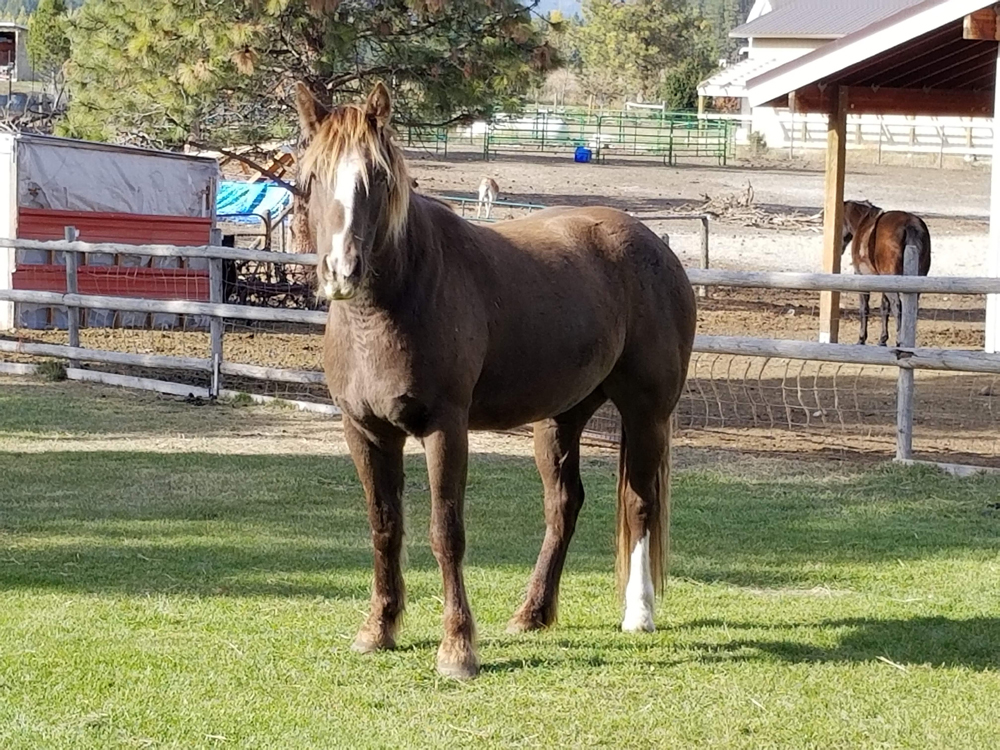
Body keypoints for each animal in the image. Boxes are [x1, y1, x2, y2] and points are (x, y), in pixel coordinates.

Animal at [292, 82, 692, 680]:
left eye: (377, 177)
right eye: (312, 177)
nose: (343, 270)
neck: (392, 305)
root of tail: (657, 247)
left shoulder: (445, 428)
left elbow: (446, 533)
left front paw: (457, 649)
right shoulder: (364, 430)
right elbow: (384, 526)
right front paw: (378, 630)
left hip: (647, 414)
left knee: (641, 505)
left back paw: (638, 614)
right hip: (560, 418)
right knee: (564, 505)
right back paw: (532, 613)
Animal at [840, 200, 932, 346]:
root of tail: (909, 224)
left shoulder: (861, 277)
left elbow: (864, 308)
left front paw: (861, 339)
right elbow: (884, 308)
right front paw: (882, 339)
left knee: (898, 307)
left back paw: (900, 340)